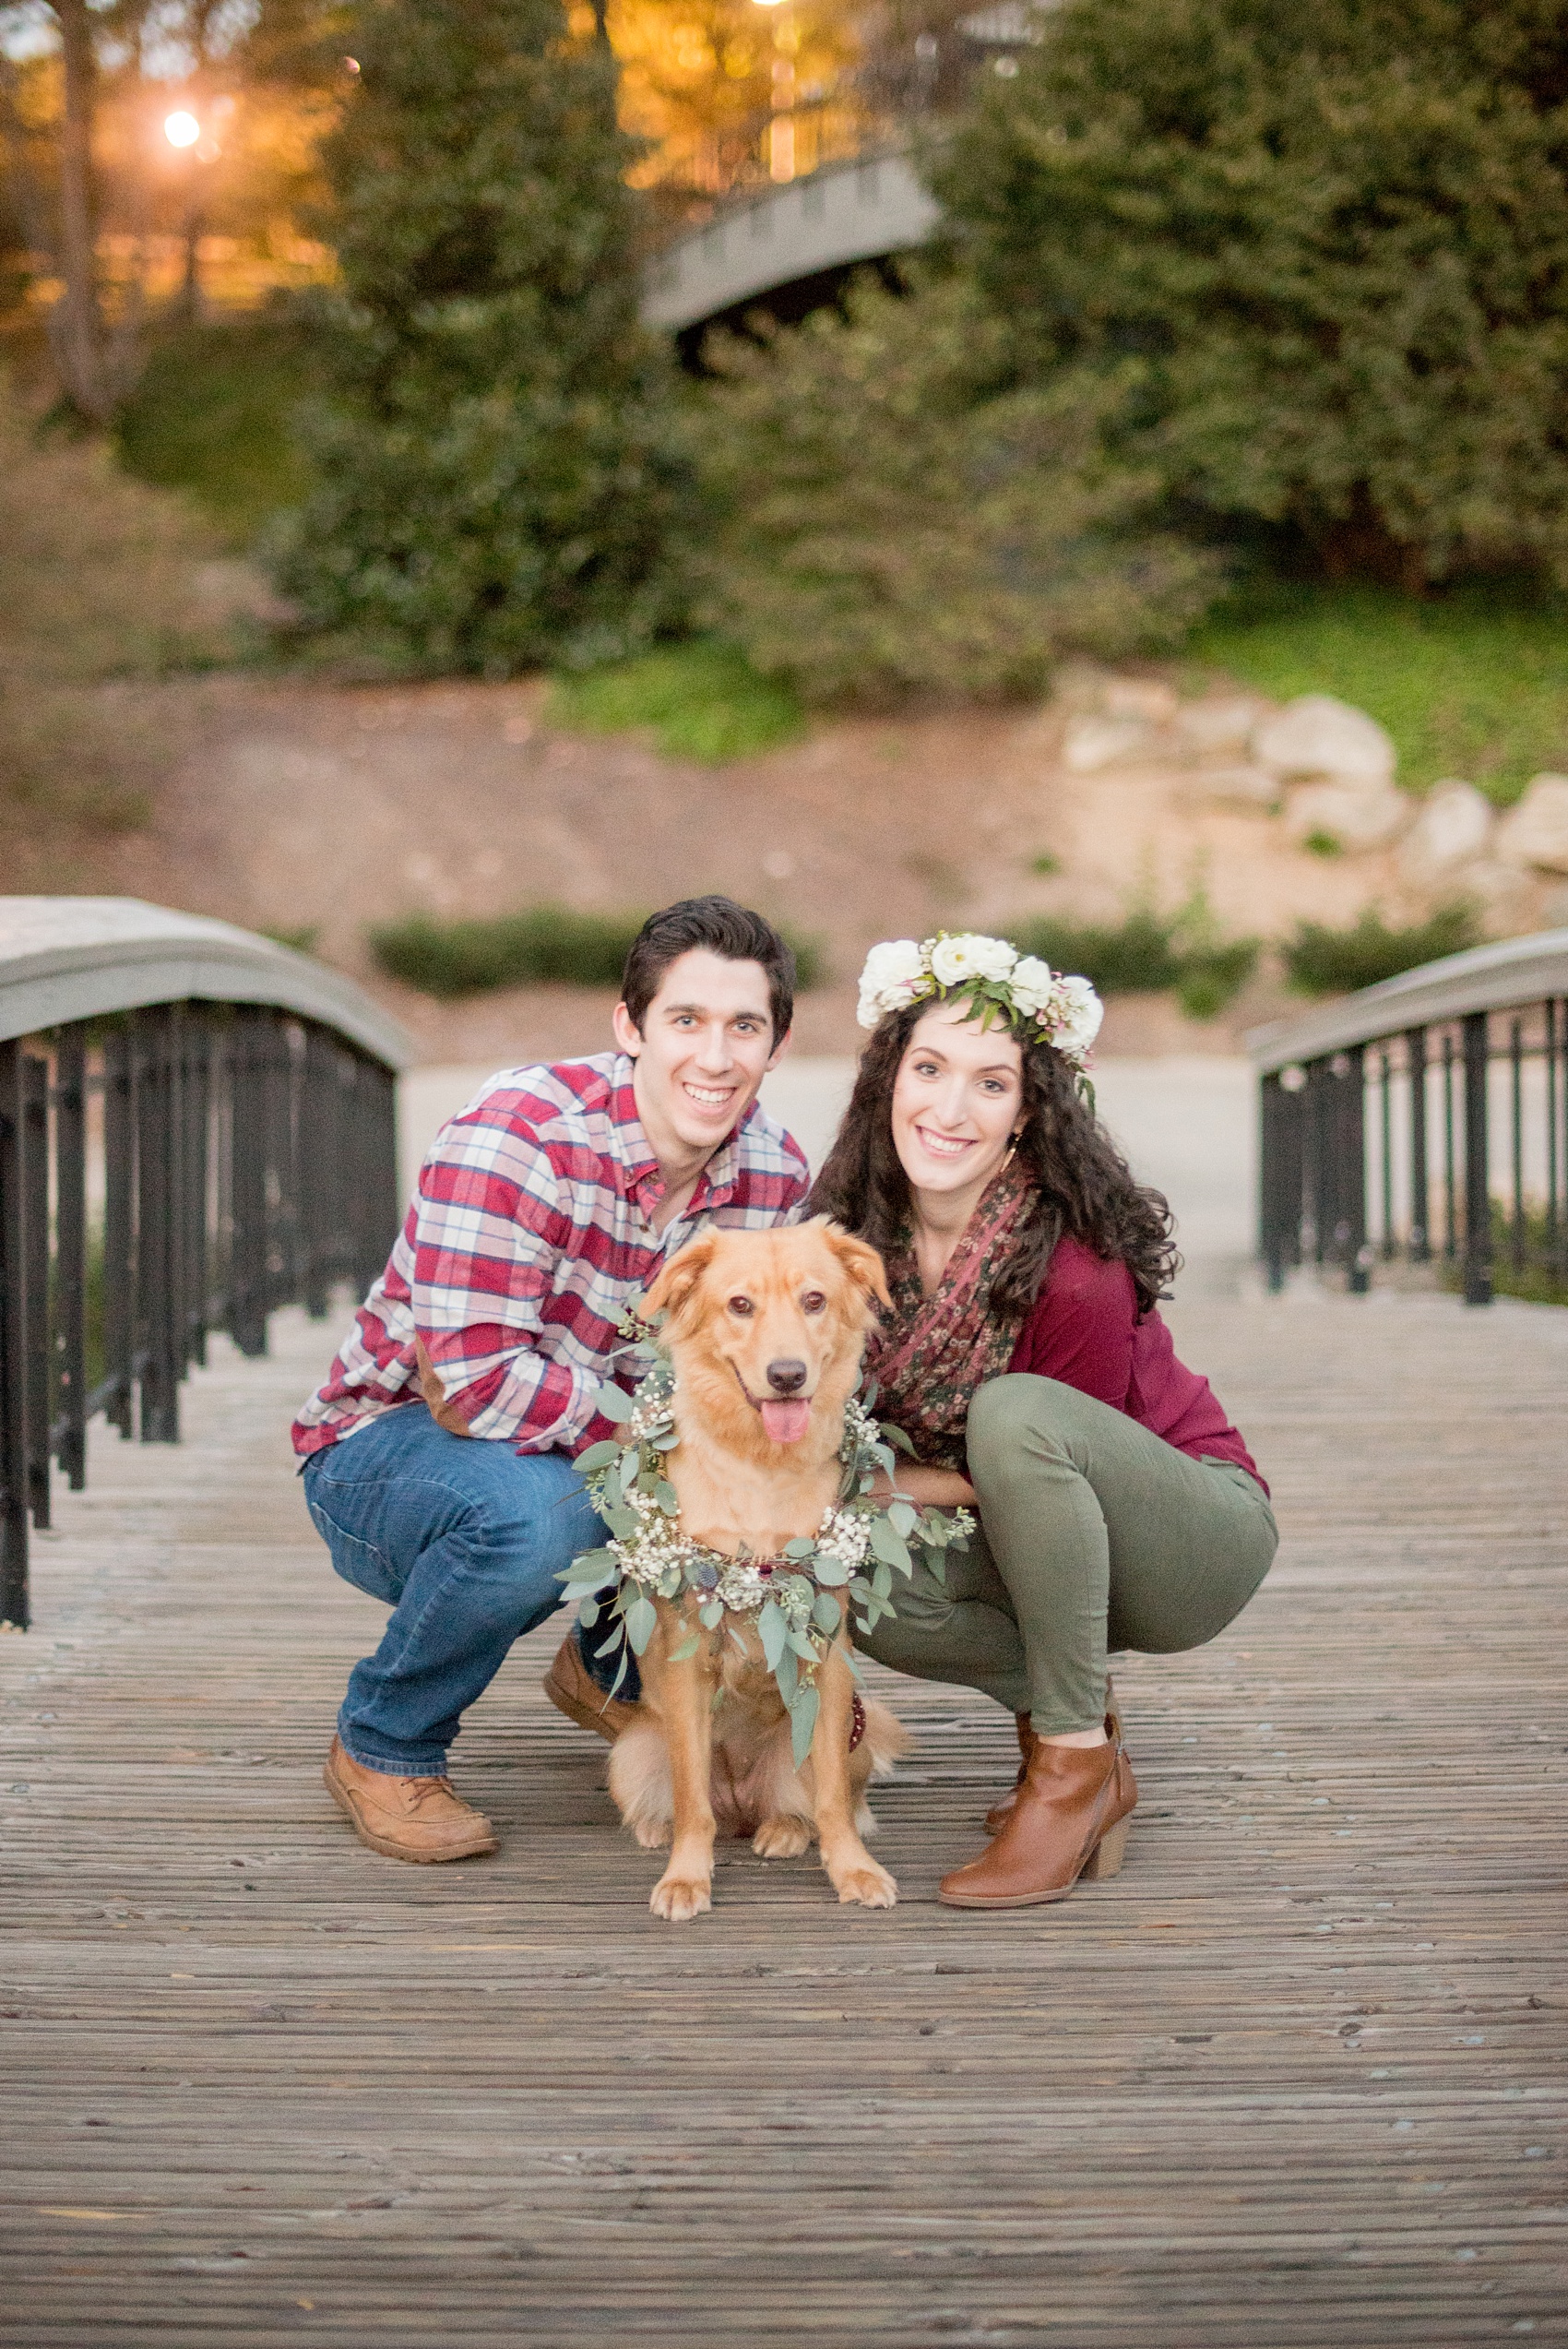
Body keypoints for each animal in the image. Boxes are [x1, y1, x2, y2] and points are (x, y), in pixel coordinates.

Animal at [610, 1221, 910, 1916]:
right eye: (740, 1305)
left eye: (814, 1301)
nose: (787, 1375)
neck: (762, 1466)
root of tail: (741, 1804)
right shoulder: (688, 1653)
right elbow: (693, 1800)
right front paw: (686, 1876)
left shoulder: (827, 1656)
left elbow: (832, 1797)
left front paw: (852, 1870)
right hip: (632, 1750)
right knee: (692, 1804)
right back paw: (659, 1829)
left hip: (851, 1729)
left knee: (813, 1801)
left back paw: (784, 1829)